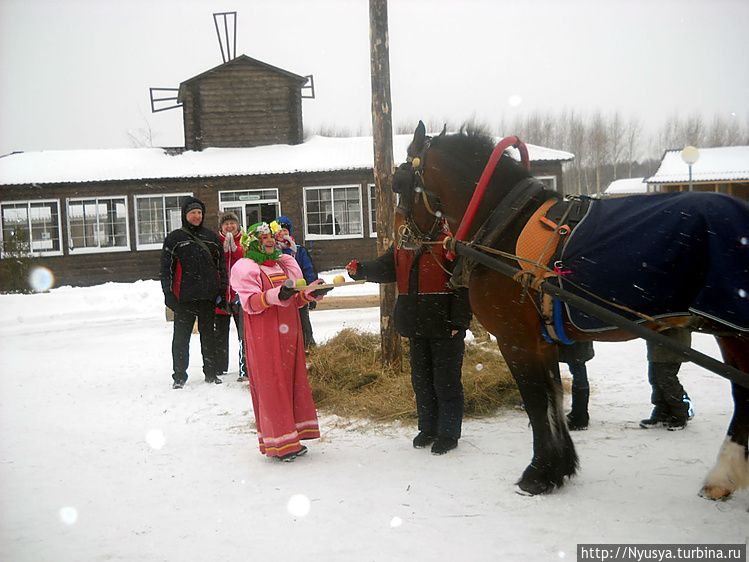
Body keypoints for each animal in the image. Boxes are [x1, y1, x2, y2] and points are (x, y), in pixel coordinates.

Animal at [392, 120, 748, 496]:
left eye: (399, 184)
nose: (402, 238)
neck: (503, 222)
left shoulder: (515, 338)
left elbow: (536, 402)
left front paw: (538, 474)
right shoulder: (541, 340)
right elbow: (554, 399)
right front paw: (558, 467)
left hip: (734, 330)